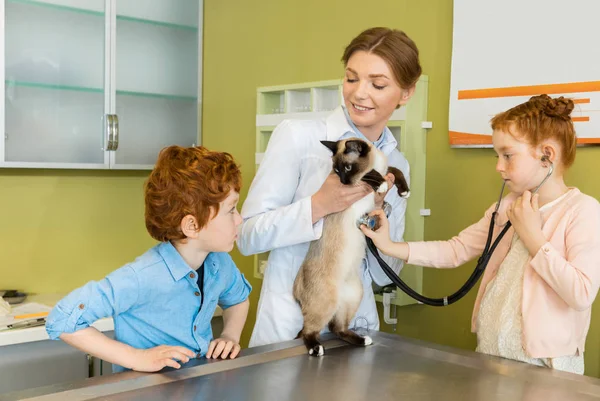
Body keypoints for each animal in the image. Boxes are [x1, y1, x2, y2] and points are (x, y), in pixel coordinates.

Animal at [292, 138, 410, 356]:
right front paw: (381, 184)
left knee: (337, 328)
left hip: (353, 296)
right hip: (326, 303)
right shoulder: (362, 179)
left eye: (346, 168)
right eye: (336, 171)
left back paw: (363, 340)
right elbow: (369, 175)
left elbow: (395, 170)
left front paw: (403, 190)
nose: (344, 182)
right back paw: (316, 348)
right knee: (309, 330)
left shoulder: (387, 168)